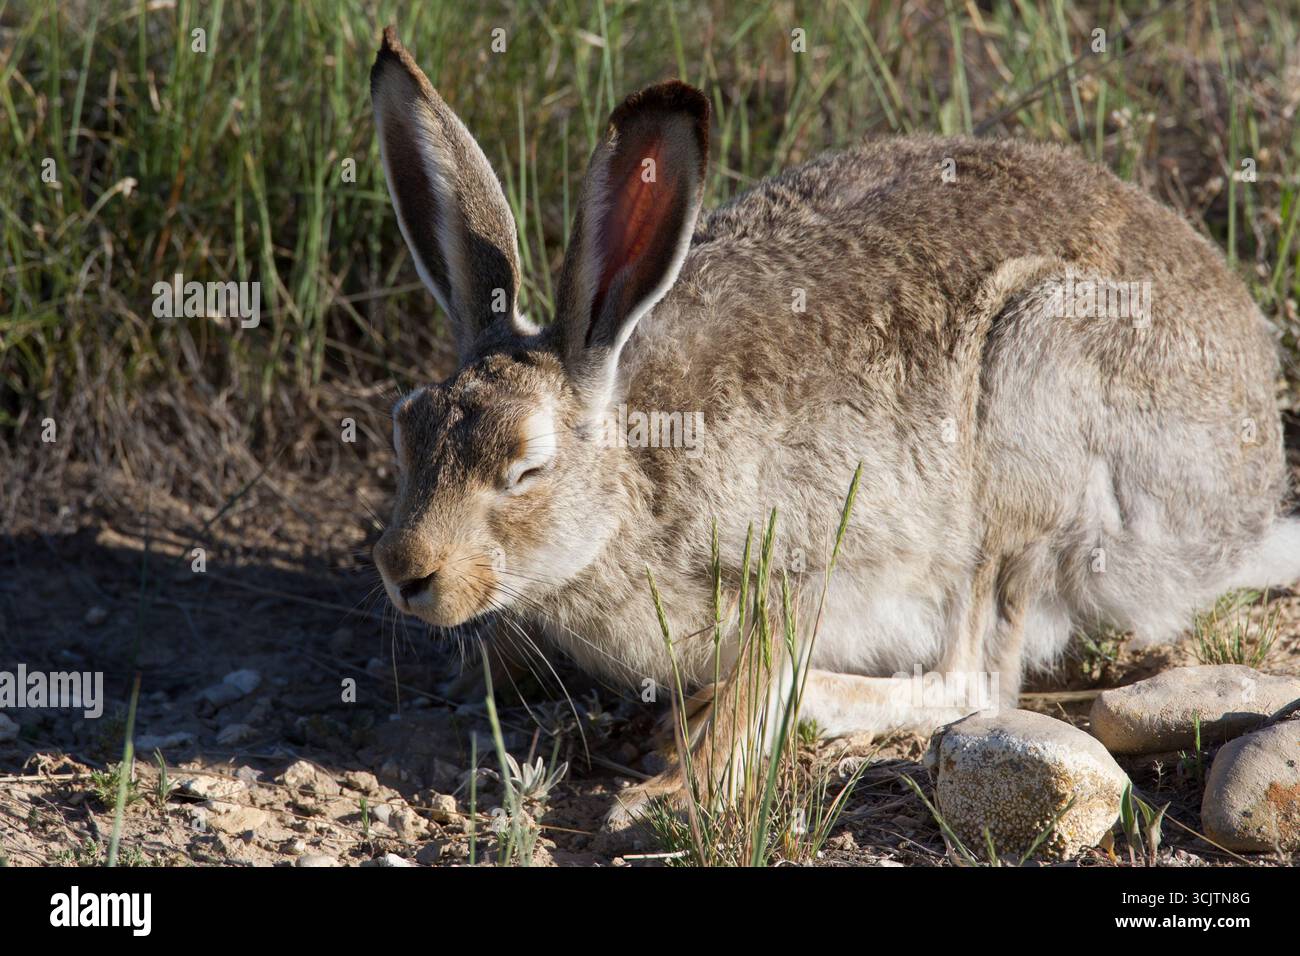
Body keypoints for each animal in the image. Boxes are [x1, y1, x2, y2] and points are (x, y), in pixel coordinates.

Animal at [367, 25, 1300, 823]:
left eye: (526, 468)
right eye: (406, 431)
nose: (405, 572)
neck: (634, 470)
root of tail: (1243, 503)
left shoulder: (793, 565)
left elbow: (762, 686)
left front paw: (672, 790)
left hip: (1030, 404)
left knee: (976, 681)